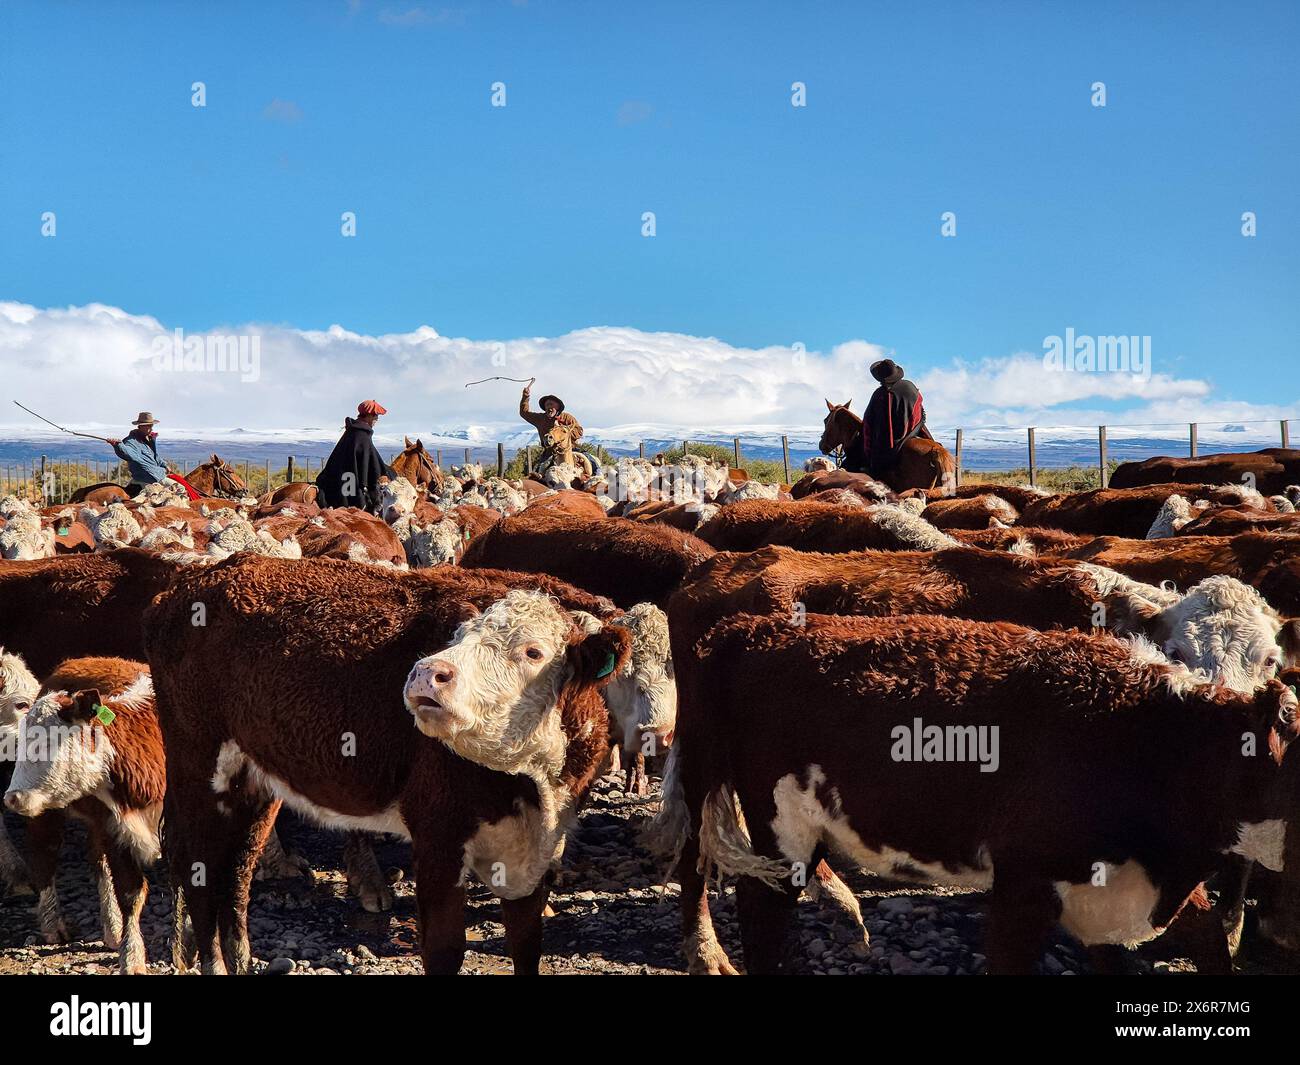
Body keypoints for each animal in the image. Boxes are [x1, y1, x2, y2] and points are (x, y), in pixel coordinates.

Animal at [142, 559, 629, 972]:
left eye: (533, 652)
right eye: (458, 636)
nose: (427, 673)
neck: (530, 787)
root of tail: (187, 584)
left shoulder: (540, 848)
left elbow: (527, 944)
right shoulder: (438, 834)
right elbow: (445, 949)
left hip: (254, 780)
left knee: (238, 871)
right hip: (199, 767)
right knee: (200, 872)